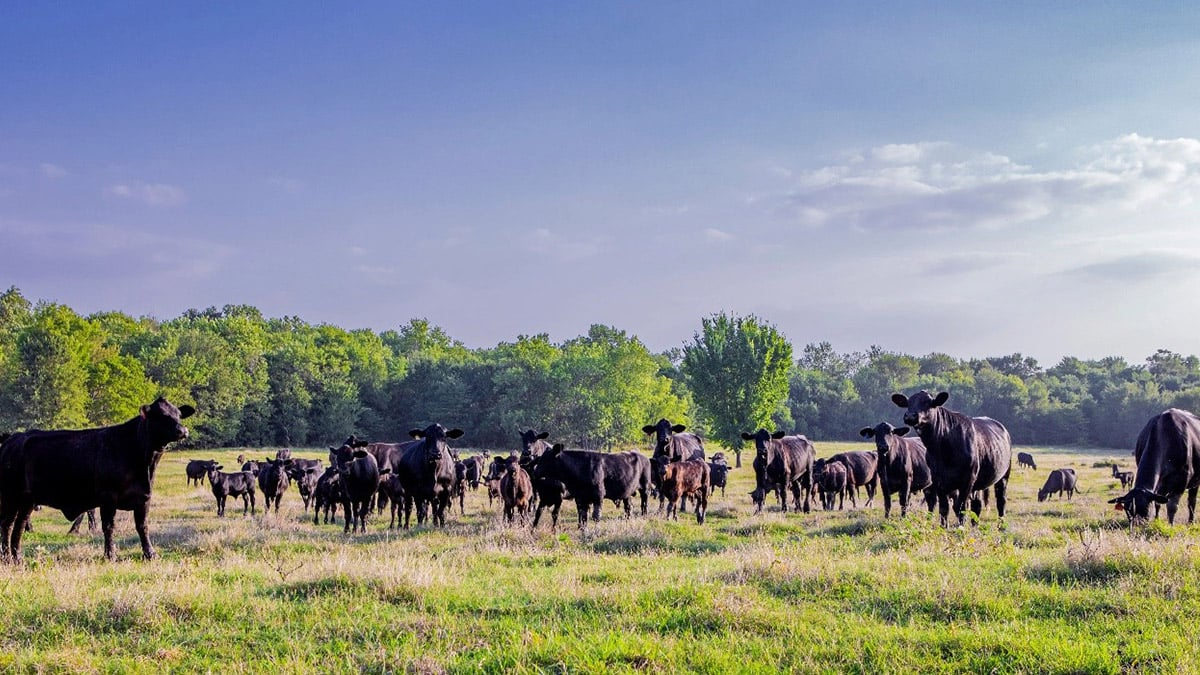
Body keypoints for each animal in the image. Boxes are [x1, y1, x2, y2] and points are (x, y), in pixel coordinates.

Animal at [0, 396, 194, 559]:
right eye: (161, 415)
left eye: (178, 415)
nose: (182, 430)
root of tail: (13, 439)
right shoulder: (108, 496)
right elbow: (109, 526)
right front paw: (110, 555)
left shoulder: (145, 496)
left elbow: (142, 526)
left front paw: (150, 554)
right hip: (10, 496)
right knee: (7, 524)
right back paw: (7, 557)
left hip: (27, 500)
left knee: (19, 525)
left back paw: (17, 558)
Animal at [892, 389, 1012, 526]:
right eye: (908, 403)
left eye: (928, 402)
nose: (910, 416)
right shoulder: (938, 480)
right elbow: (944, 508)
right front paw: (944, 527)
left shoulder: (968, 479)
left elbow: (961, 507)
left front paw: (961, 528)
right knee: (977, 504)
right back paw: (975, 526)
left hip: (1004, 475)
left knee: (1001, 501)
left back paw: (1001, 526)